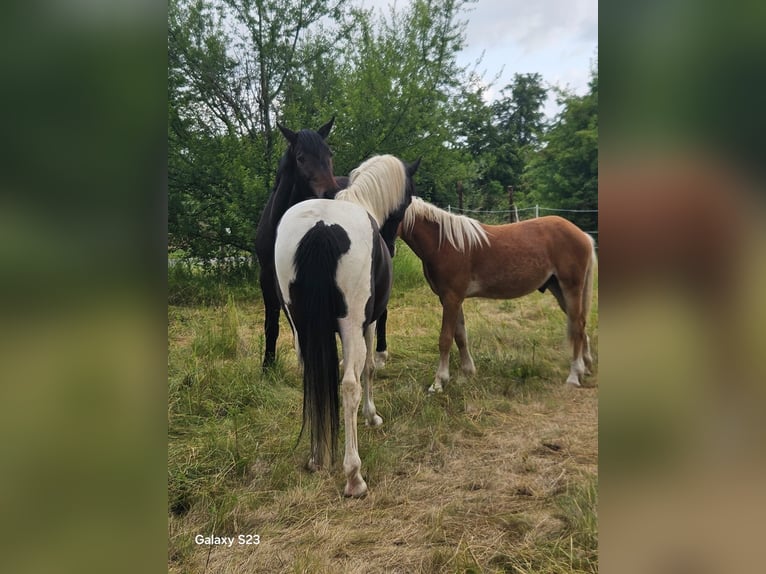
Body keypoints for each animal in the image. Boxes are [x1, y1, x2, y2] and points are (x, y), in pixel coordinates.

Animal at [254, 118, 339, 370]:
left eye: (329, 153)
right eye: (301, 158)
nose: (331, 193)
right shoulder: (268, 276)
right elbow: (273, 323)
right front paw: (268, 365)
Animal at [274, 155, 419, 497]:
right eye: (407, 200)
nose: (392, 246)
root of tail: (321, 227)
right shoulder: (368, 324)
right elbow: (367, 369)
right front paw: (371, 416)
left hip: (300, 326)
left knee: (311, 379)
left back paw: (317, 457)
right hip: (352, 326)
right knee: (349, 385)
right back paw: (354, 475)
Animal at [399, 197, 597, 392]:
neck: (444, 243)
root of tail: (582, 235)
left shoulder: (451, 298)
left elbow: (445, 338)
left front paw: (438, 382)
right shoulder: (451, 299)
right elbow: (460, 336)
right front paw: (467, 374)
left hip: (571, 288)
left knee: (577, 326)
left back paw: (574, 376)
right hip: (558, 289)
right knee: (580, 323)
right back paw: (585, 367)